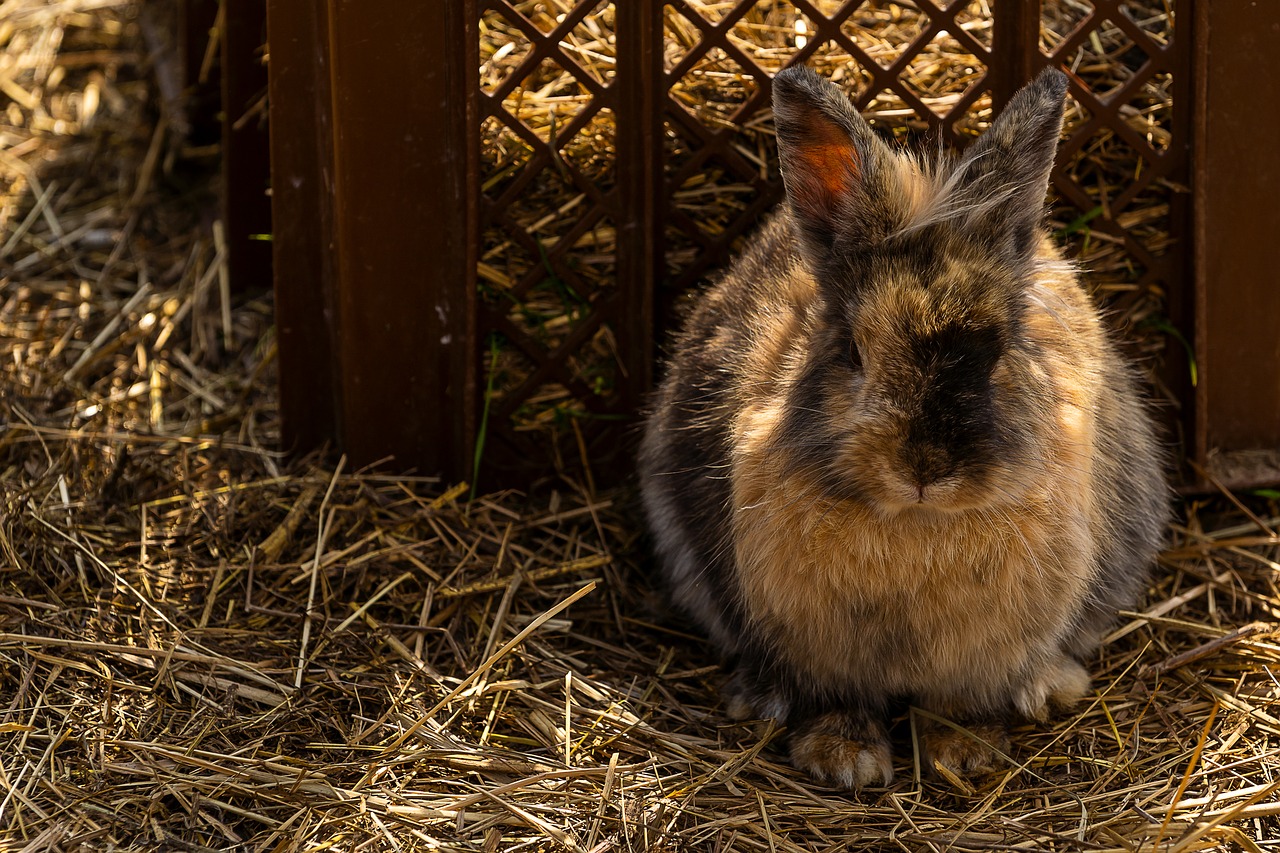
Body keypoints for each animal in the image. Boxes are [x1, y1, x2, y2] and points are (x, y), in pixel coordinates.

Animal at [634, 64, 1167, 783]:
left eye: (999, 350)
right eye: (854, 352)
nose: (924, 467)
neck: (917, 522)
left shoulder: (978, 658)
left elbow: (958, 702)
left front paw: (965, 752)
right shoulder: (816, 650)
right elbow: (835, 698)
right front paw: (843, 759)